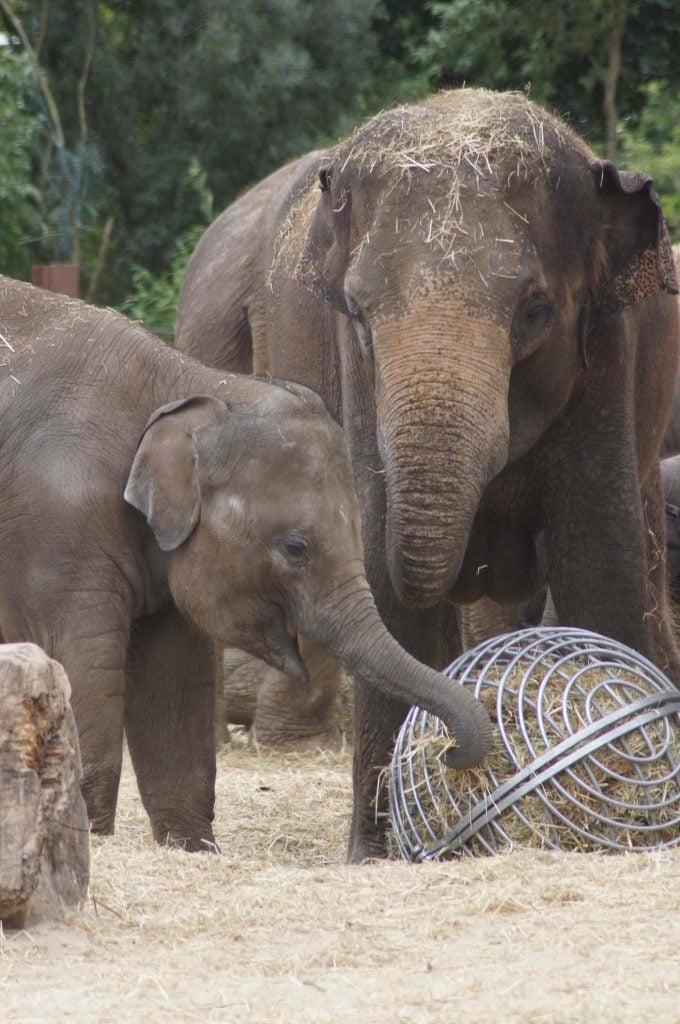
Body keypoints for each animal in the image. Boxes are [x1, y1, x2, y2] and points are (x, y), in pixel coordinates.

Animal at [0, 276, 491, 851]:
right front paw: (91, 842)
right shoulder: (57, 535)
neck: (190, 385)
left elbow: (174, 686)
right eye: (295, 548)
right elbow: (83, 671)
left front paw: (191, 849)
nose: (449, 751)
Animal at [176, 88, 680, 860]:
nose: (452, 750)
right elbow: (385, 580)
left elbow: (599, 558)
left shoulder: (605, 356)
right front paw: (377, 855)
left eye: (535, 309)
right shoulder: (355, 376)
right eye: (357, 312)